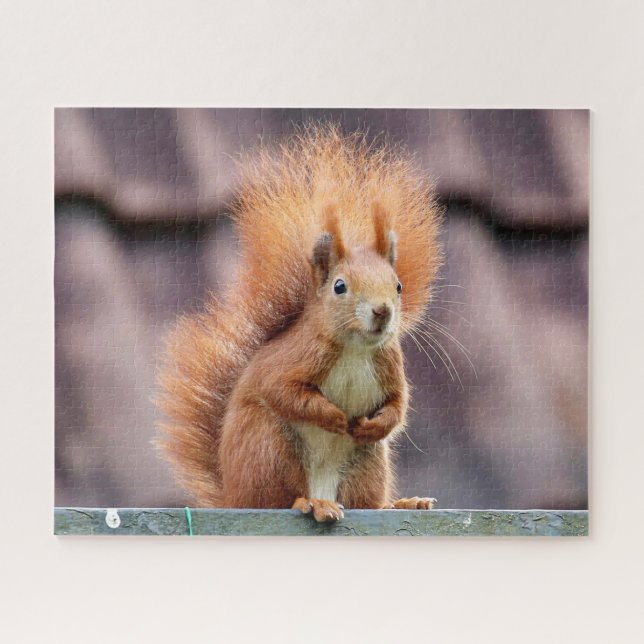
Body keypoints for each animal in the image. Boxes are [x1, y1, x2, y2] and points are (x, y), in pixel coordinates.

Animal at [157, 124, 442, 522]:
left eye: (398, 285)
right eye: (340, 286)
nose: (382, 311)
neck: (355, 349)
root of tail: (234, 496)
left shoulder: (389, 363)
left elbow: (398, 407)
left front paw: (372, 424)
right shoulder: (297, 357)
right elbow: (283, 391)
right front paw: (334, 417)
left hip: (366, 463)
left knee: (364, 502)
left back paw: (399, 503)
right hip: (269, 448)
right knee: (278, 498)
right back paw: (311, 503)